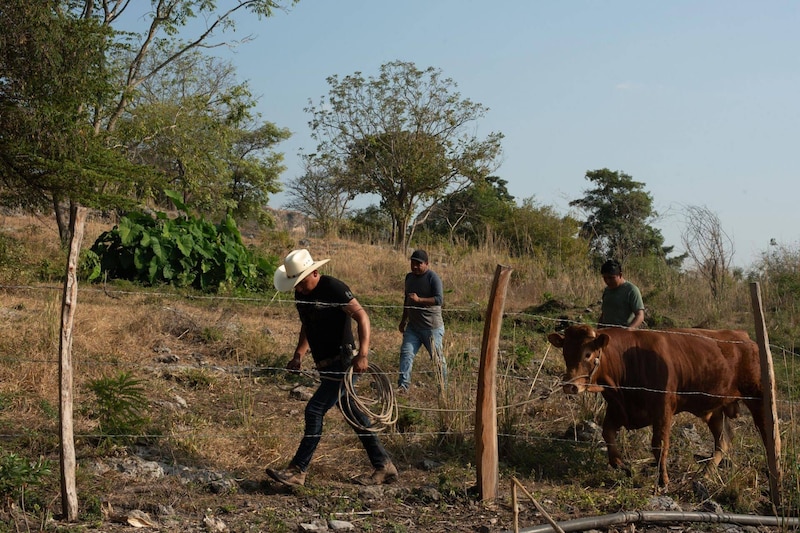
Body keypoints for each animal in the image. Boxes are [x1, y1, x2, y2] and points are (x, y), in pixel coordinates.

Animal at [548, 324, 764, 486]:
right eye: (565, 352)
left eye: (588, 354)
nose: (570, 386)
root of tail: (744, 336)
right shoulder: (617, 408)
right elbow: (608, 434)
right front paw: (623, 466)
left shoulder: (663, 409)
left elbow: (659, 446)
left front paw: (663, 481)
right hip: (714, 409)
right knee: (723, 441)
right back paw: (705, 474)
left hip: (757, 398)